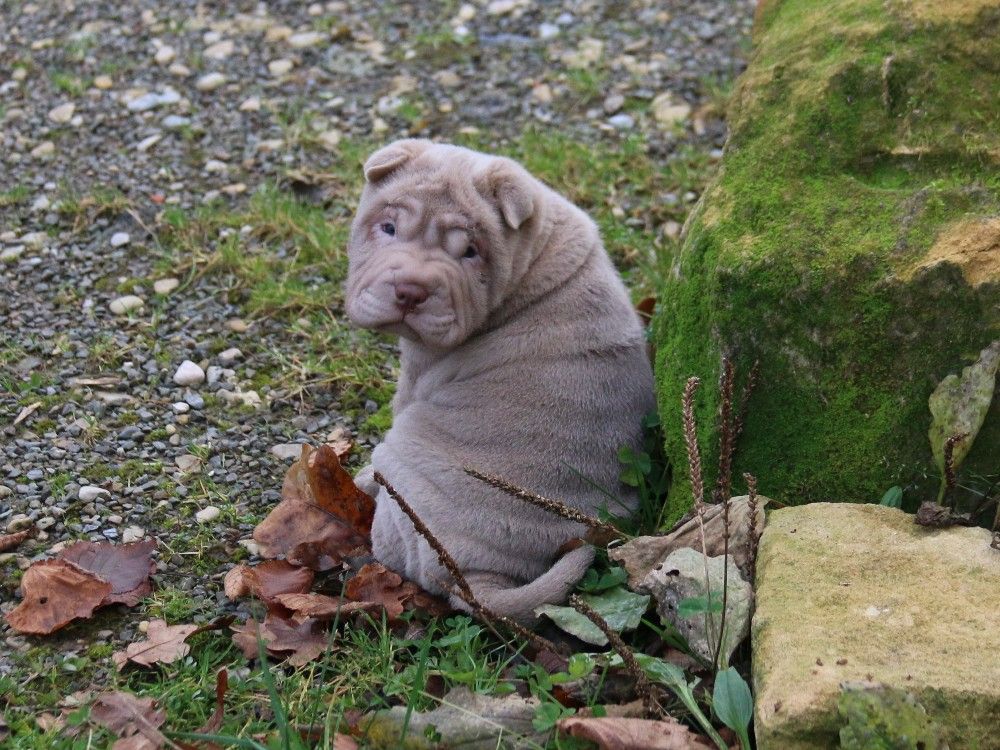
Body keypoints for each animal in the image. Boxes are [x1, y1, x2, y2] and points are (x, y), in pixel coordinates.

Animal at [344, 140, 656, 624]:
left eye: (470, 252)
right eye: (389, 227)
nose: (411, 290)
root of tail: (480, 574)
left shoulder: (416, 373)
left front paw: (360, 475)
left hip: (404, 467)